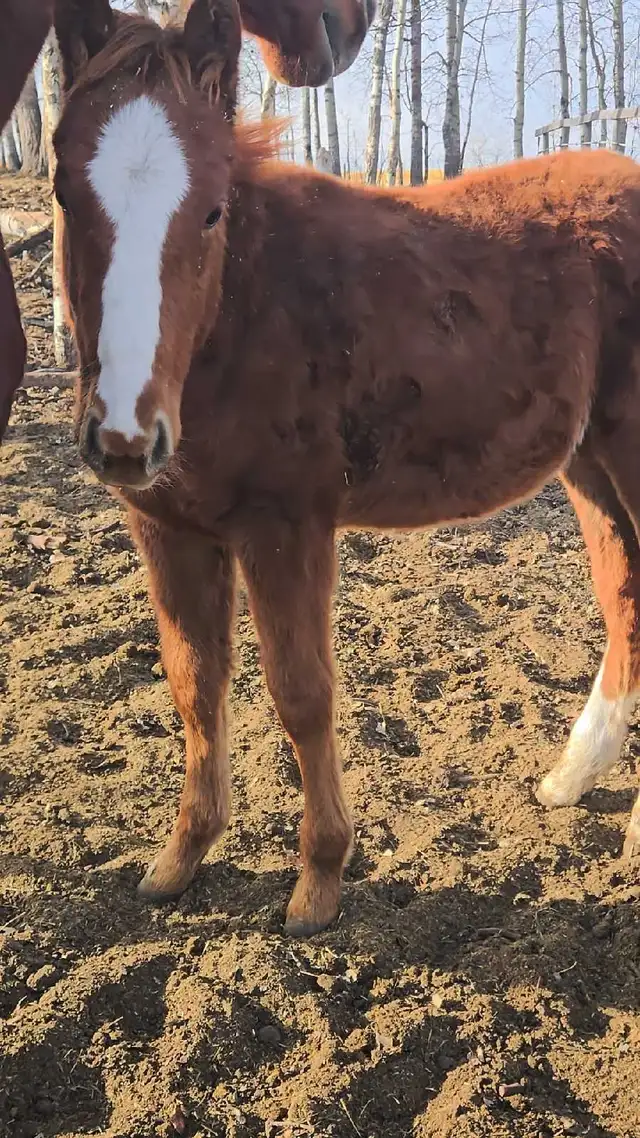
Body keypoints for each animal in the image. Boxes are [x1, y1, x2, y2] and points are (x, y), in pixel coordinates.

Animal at [53, 0, 640, 937]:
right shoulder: (166, 525)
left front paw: (318, 884)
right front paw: (179, 860)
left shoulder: (286, 523)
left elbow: (302, 694)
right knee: (624, 593)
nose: (122, 436)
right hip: (590, 462)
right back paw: (570, 776)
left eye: (212, 210)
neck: (241, 312)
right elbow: (192, 684)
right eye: (66, 193)